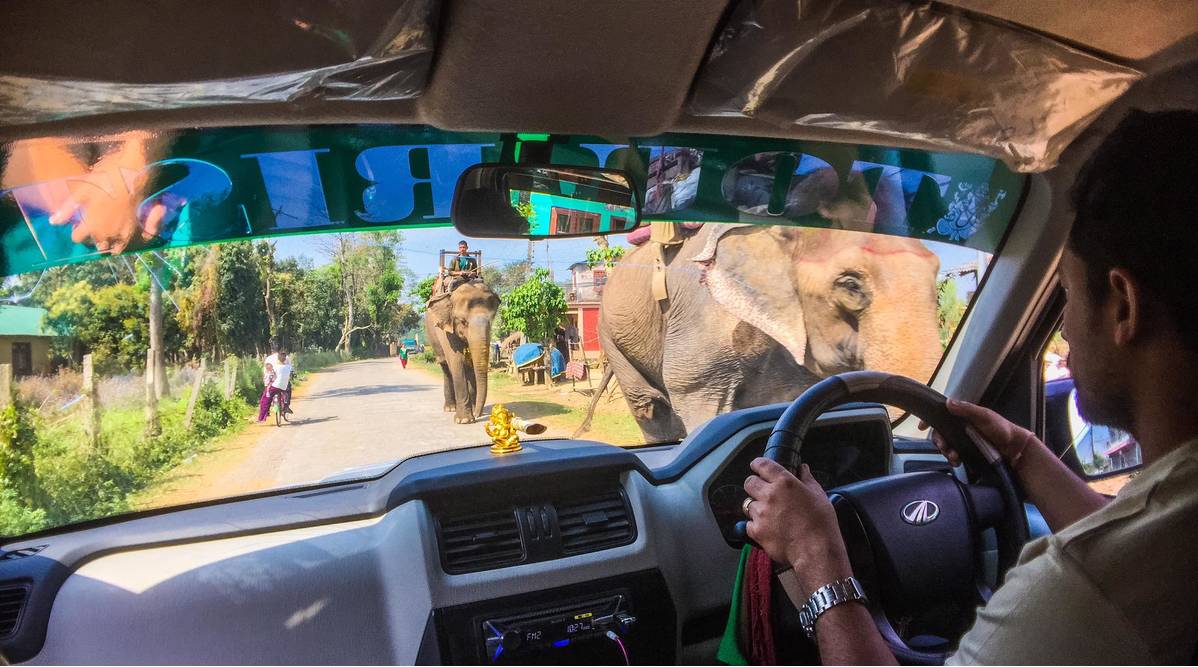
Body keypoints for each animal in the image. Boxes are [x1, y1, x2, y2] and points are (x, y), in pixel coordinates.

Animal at [424, 279, 498, 421]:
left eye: (490, 321)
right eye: (463, 322)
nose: (478, 415)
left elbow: (470, 362)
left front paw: (473, 413)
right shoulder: (446, 329)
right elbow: (456, 360)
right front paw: (464, 420)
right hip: (432, 335)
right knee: (445, 366)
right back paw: (450, 408)